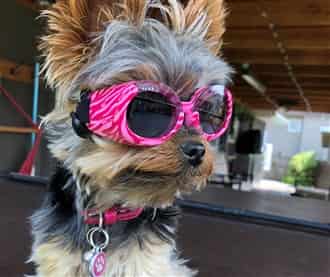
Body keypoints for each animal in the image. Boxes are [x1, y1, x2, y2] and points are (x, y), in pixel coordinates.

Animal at [30, 1, 232, 274]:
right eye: (147, 106)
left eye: (207, 110)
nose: (198, 150)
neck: (107, 213)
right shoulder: (57, 259)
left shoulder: (147, 262)